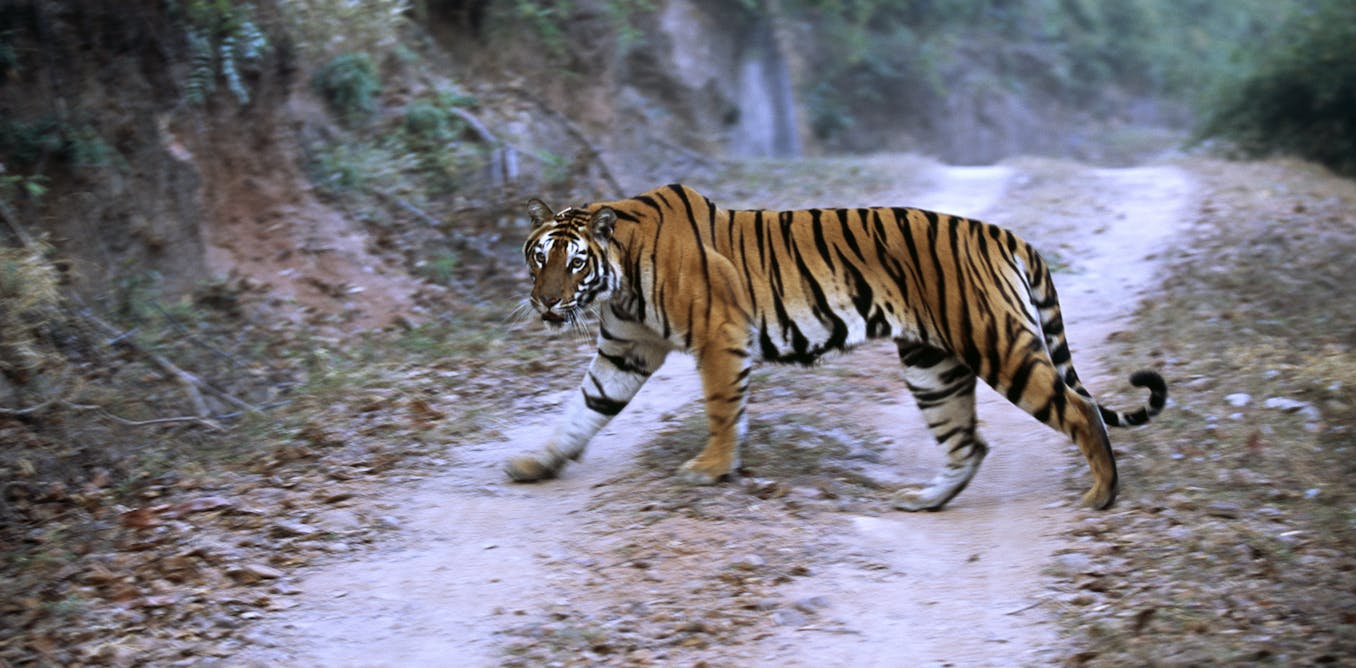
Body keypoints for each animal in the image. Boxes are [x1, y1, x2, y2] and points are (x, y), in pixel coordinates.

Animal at [505, 183, 1166, 510]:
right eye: (540, 257)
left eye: (575, 261)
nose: (545, 302)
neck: (617, 282)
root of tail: (1003, 233)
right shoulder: (626, 350)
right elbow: (583, 410)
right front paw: (537, 463)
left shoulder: (721, 337)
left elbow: (721, 409)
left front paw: (711, 469)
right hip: (931, 364)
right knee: (968, 442)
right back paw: (923, 502)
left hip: (995, 342)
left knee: (1079, 409)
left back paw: (1102, 495)